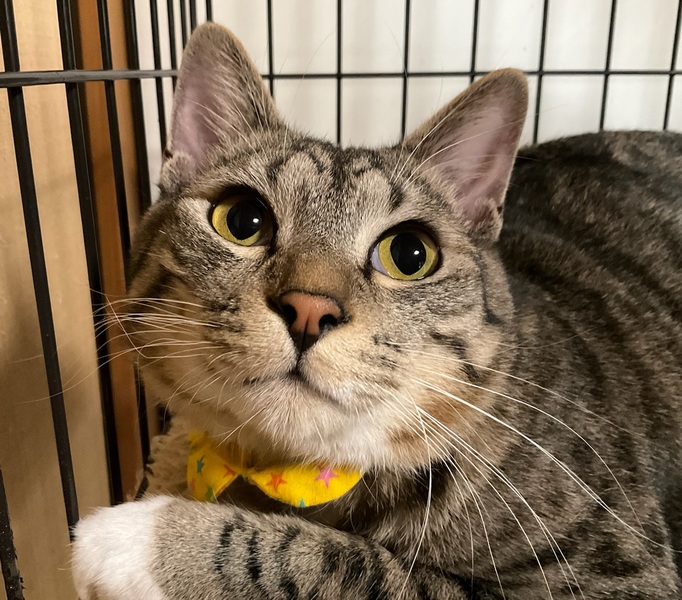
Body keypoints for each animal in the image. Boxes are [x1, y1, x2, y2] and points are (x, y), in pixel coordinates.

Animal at [72, 22, 682, 600]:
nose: (309, 309)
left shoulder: (621, 575)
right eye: (242, 219)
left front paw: (141, 538)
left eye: (410, 254)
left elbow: (362, 564)